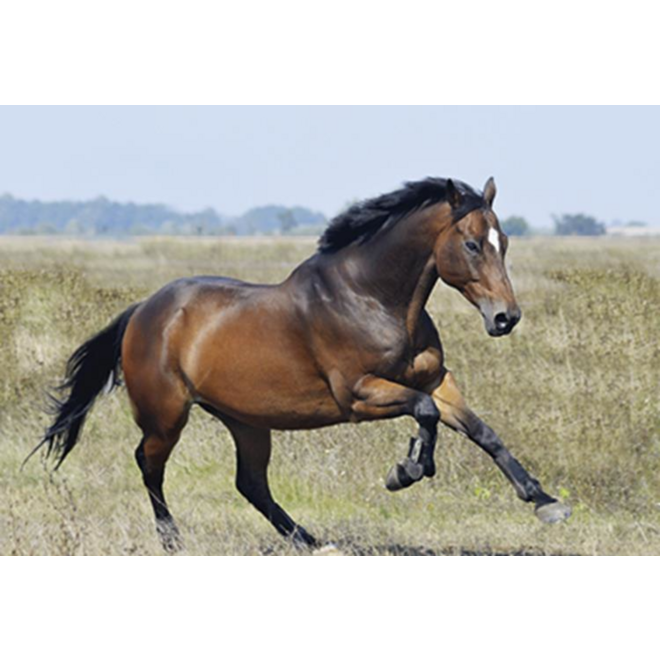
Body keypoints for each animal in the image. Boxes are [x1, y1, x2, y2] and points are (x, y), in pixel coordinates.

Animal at [34, 176, 571, 551]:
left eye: (505, 243)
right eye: (472, 245)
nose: (505, 318)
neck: (373, 298)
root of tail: (144, 310)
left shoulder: (438, 379)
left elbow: (481, 431)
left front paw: (543, 501)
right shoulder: (358, 394)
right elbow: (425, 413)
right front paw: (406, 470)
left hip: (246, 421)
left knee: (250, 483)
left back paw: (309, 540)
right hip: (166, 417)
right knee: (149, 465)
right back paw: (172, 540)